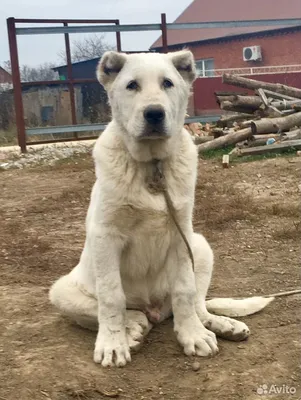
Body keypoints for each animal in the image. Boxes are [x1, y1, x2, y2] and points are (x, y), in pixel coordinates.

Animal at [49, 49, 272, 366]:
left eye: (167, 83)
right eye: (131, 85)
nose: (154, 113)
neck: (152, 165)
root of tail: (155, 310)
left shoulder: (181, 234)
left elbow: (185, 290)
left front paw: (192, 335)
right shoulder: (106, 236)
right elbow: (111, 297)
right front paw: (113, 344)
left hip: (200, 246)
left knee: (197, 305)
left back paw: (219, 324)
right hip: (61, 291)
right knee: (122, 311)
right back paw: (133, 328)